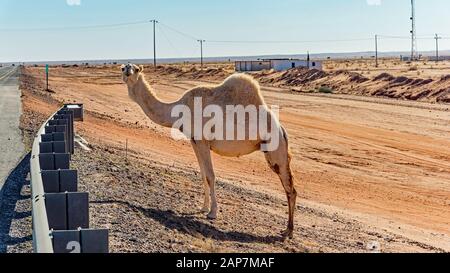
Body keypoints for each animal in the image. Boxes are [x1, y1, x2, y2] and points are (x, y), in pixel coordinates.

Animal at [122, 62, 298, 237]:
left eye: (135, 69)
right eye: (124, 68)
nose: (128, 72)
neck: (179, 111)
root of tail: (282, 130)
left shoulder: (203, 141)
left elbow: (210, 176)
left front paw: (212, 213)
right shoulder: (194, 141)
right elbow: (202, 175)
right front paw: (203, 207)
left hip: (276, 150)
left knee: (290, 188)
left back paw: (288, 231)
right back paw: (287, 230)